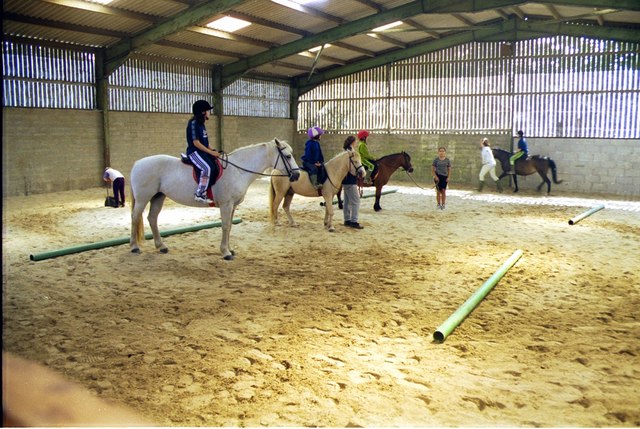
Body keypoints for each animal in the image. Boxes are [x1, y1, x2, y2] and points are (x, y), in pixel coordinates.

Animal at [131, 137, 302, 260]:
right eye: (288, 156)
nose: (297, 175)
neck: (238, 170)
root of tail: (138, 163)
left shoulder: (233, 205)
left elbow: (230, 227)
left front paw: (230, 249)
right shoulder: (226, 204)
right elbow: (225, 226)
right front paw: (225, 252)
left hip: (158, 197)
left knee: (152, 218)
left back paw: (161, 246)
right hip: (143, 198)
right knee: (135, 217)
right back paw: (134, 247)